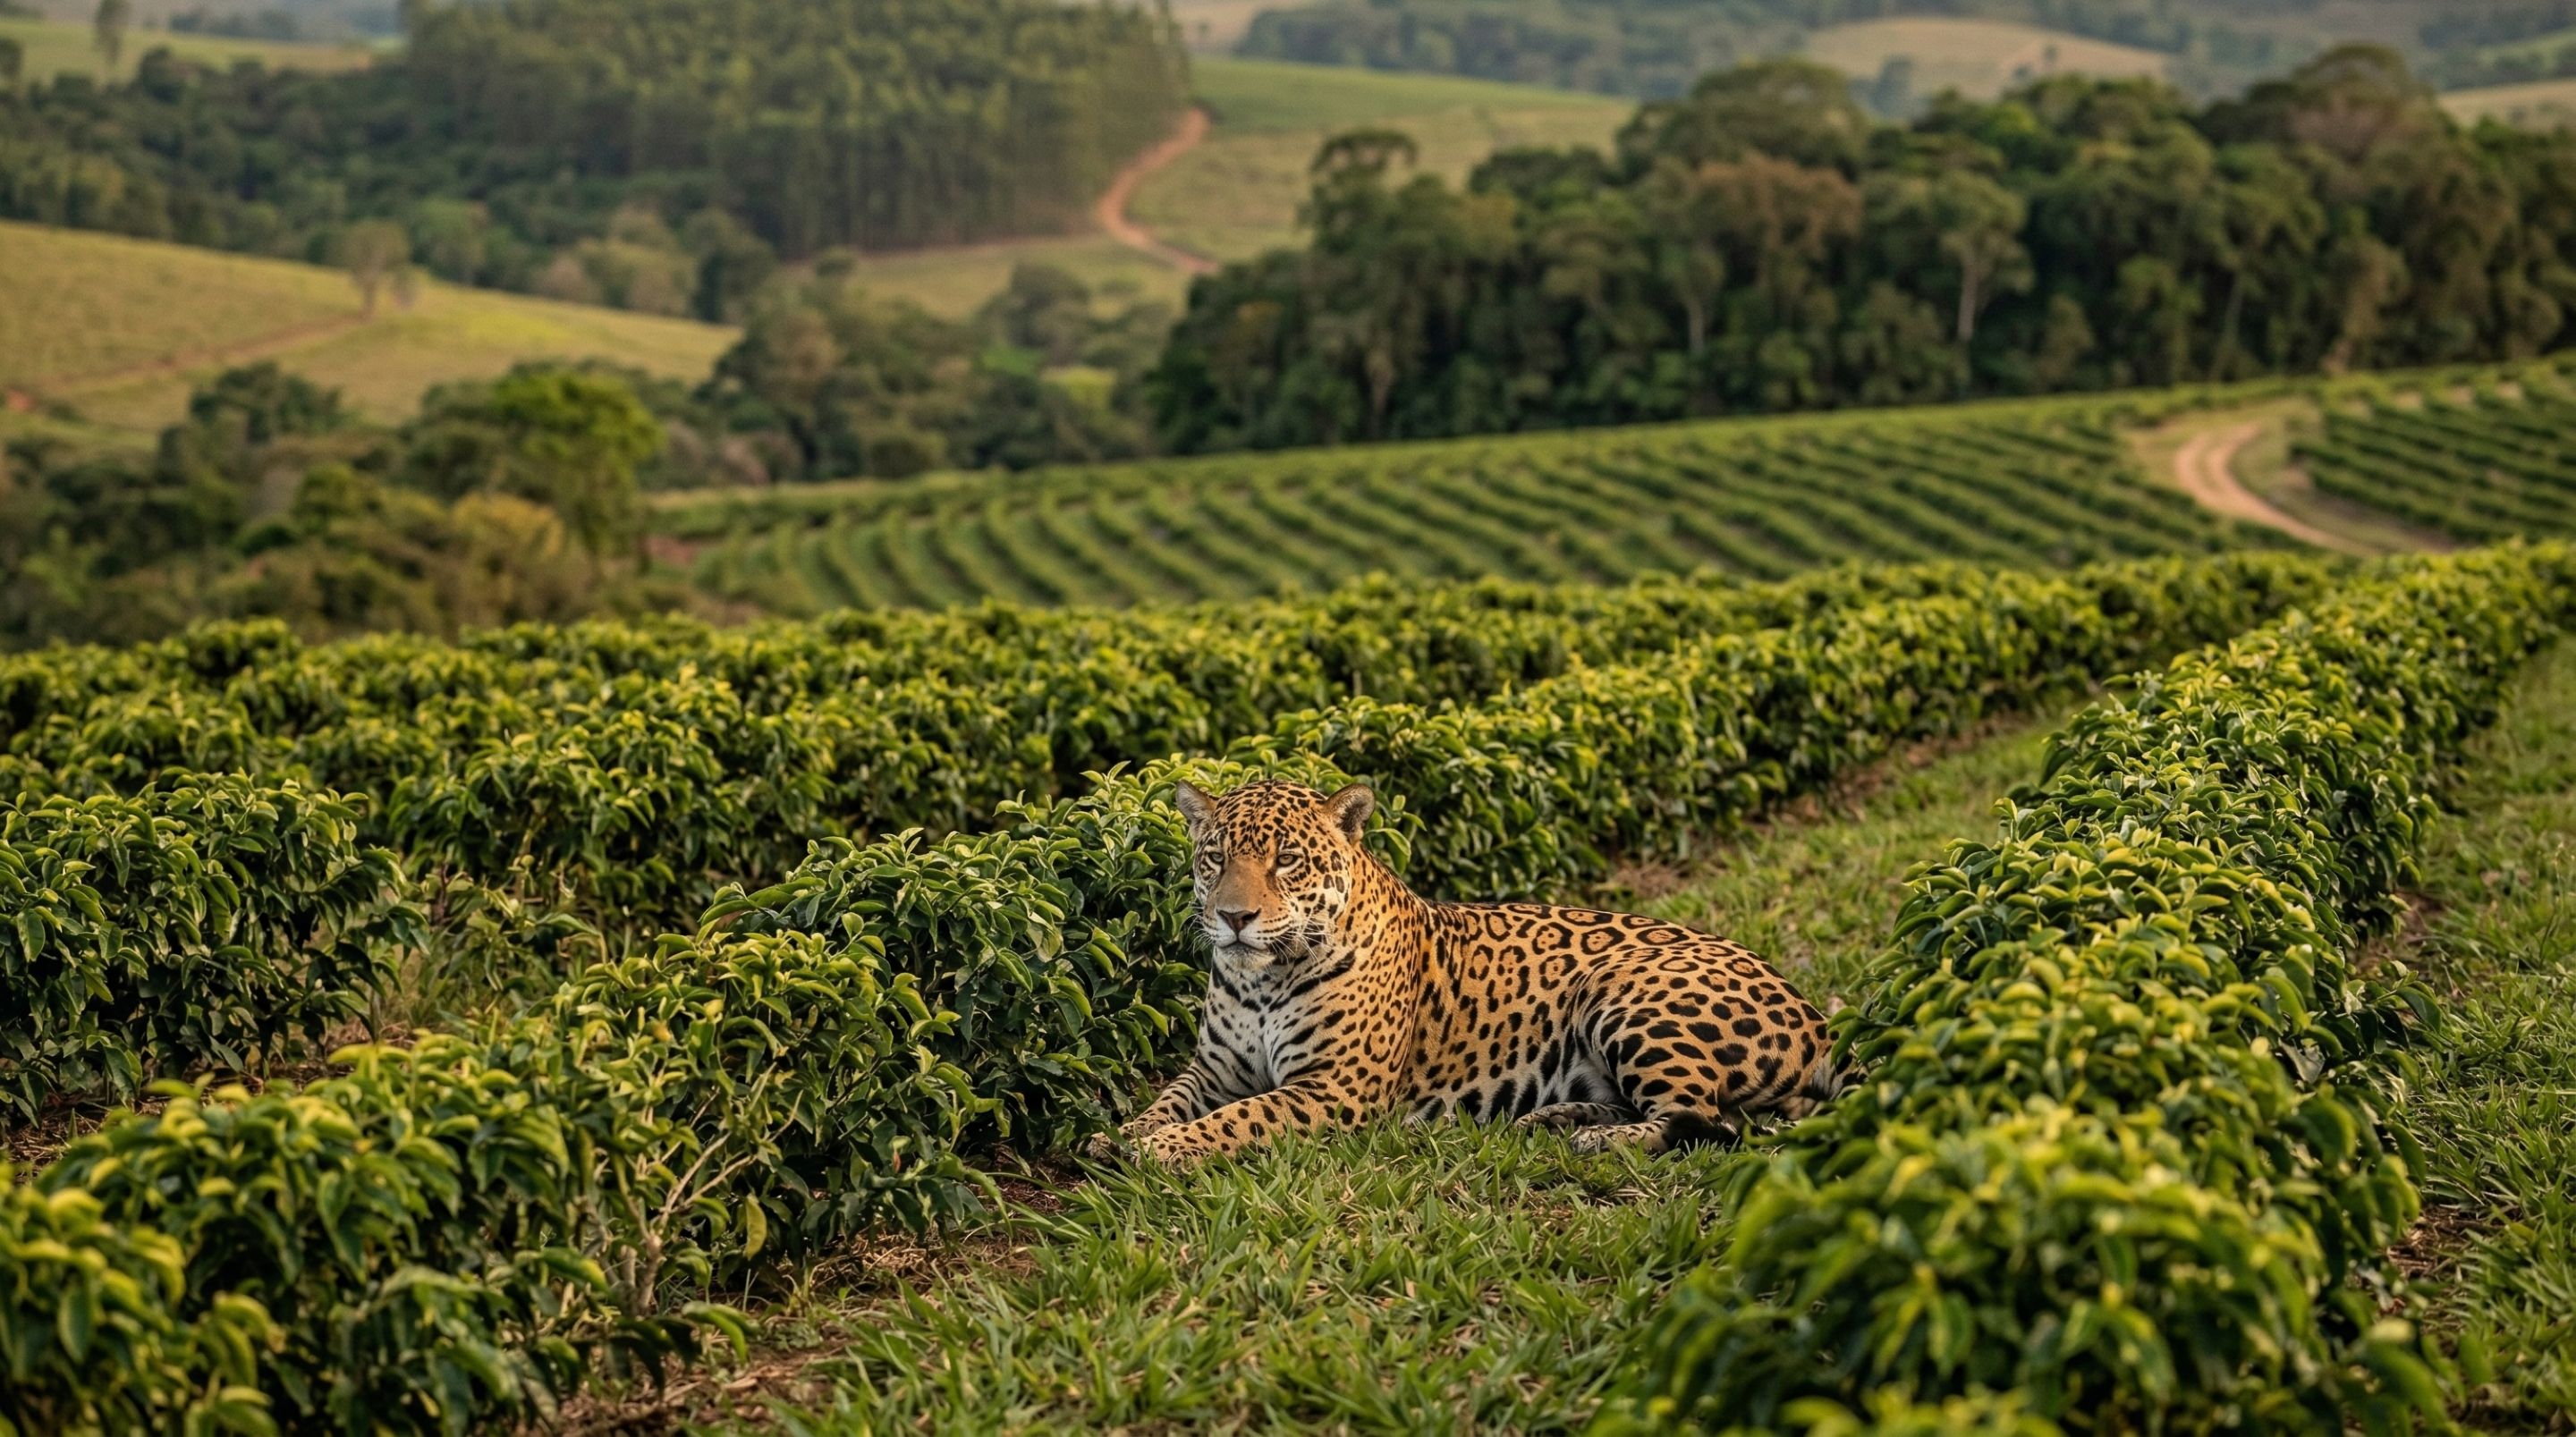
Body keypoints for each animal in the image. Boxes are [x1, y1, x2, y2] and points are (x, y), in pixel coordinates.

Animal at [1102, 777, 1838, 1164]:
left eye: (1287, 860)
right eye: (1215, 858)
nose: (1234, 917)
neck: (1263, 979)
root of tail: (1818, 1019)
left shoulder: (1332, 1087)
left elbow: (1238, 1119)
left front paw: (1161, 1149)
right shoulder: (1213, 1069)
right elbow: (1169, 1098)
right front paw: (1128, 1132)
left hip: (1622, 986)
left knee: (1710, 1123)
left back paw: (1599, 1139)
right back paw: (1556, 1118)